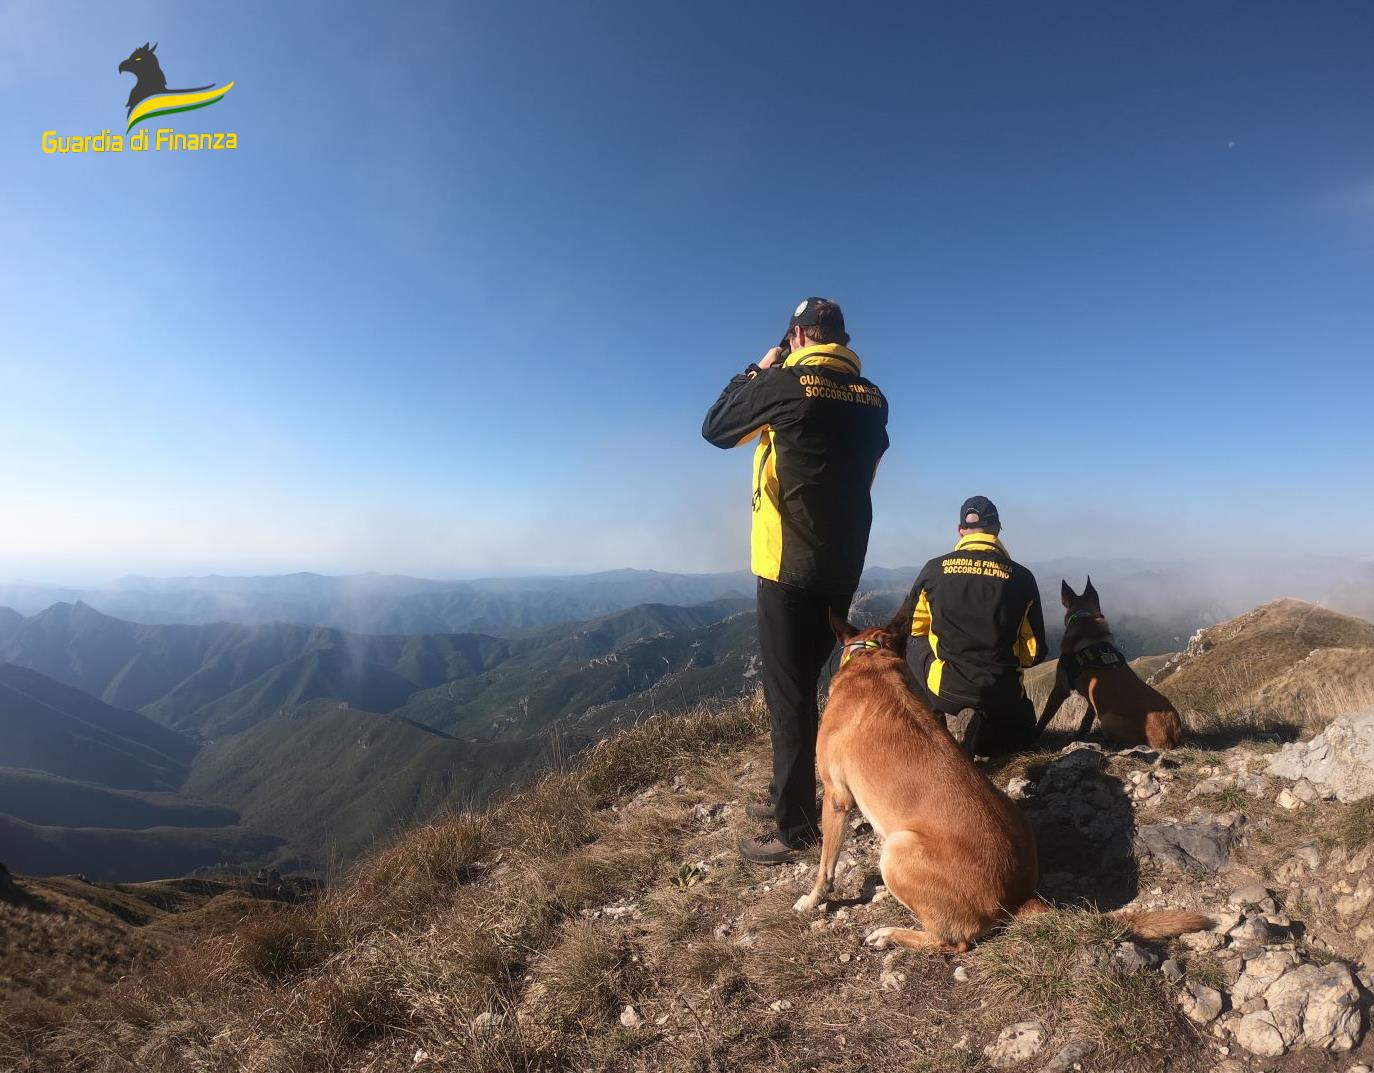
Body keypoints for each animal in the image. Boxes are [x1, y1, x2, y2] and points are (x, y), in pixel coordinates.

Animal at [1038, 577, 1181, 747]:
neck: (1084, 617)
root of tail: (1169, 736)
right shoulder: (1092, 697)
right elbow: (1086, 719)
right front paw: (1079, 734)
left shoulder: (1060, 689)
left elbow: (1044, 717)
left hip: (1107, 719)